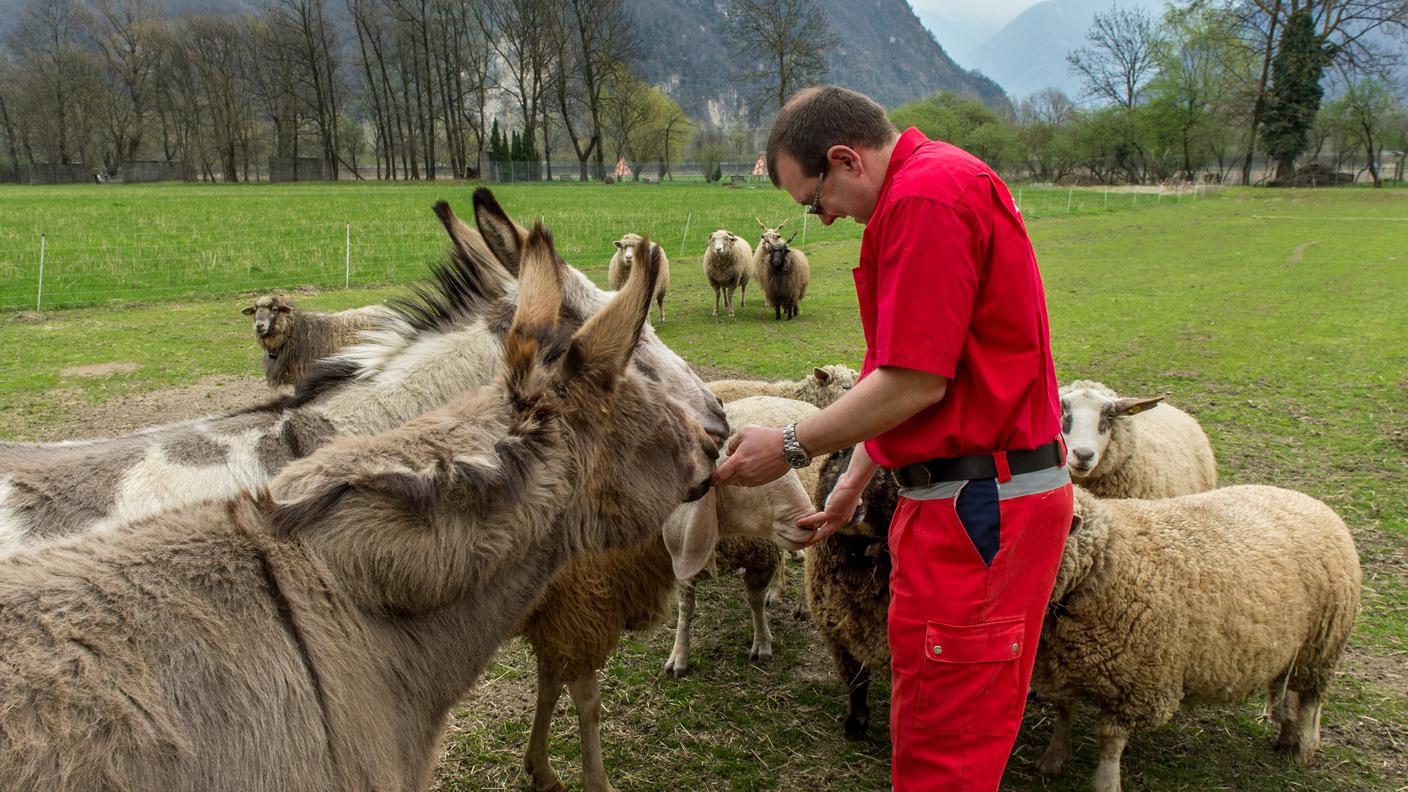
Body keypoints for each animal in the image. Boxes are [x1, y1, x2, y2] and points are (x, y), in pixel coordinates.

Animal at [1036, 481, 1362, 789]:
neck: (1104, 561)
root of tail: (1315, 503)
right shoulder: (1063, 668)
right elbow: (1064, 713)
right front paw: (1053, 759)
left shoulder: (1139, 687)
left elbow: (1110, 744)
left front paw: (1107, 783)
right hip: (1297, 650)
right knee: (1293, 692)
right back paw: (1287, 737)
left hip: (1322, 646)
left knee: (1311, 700)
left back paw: (1304, 748)